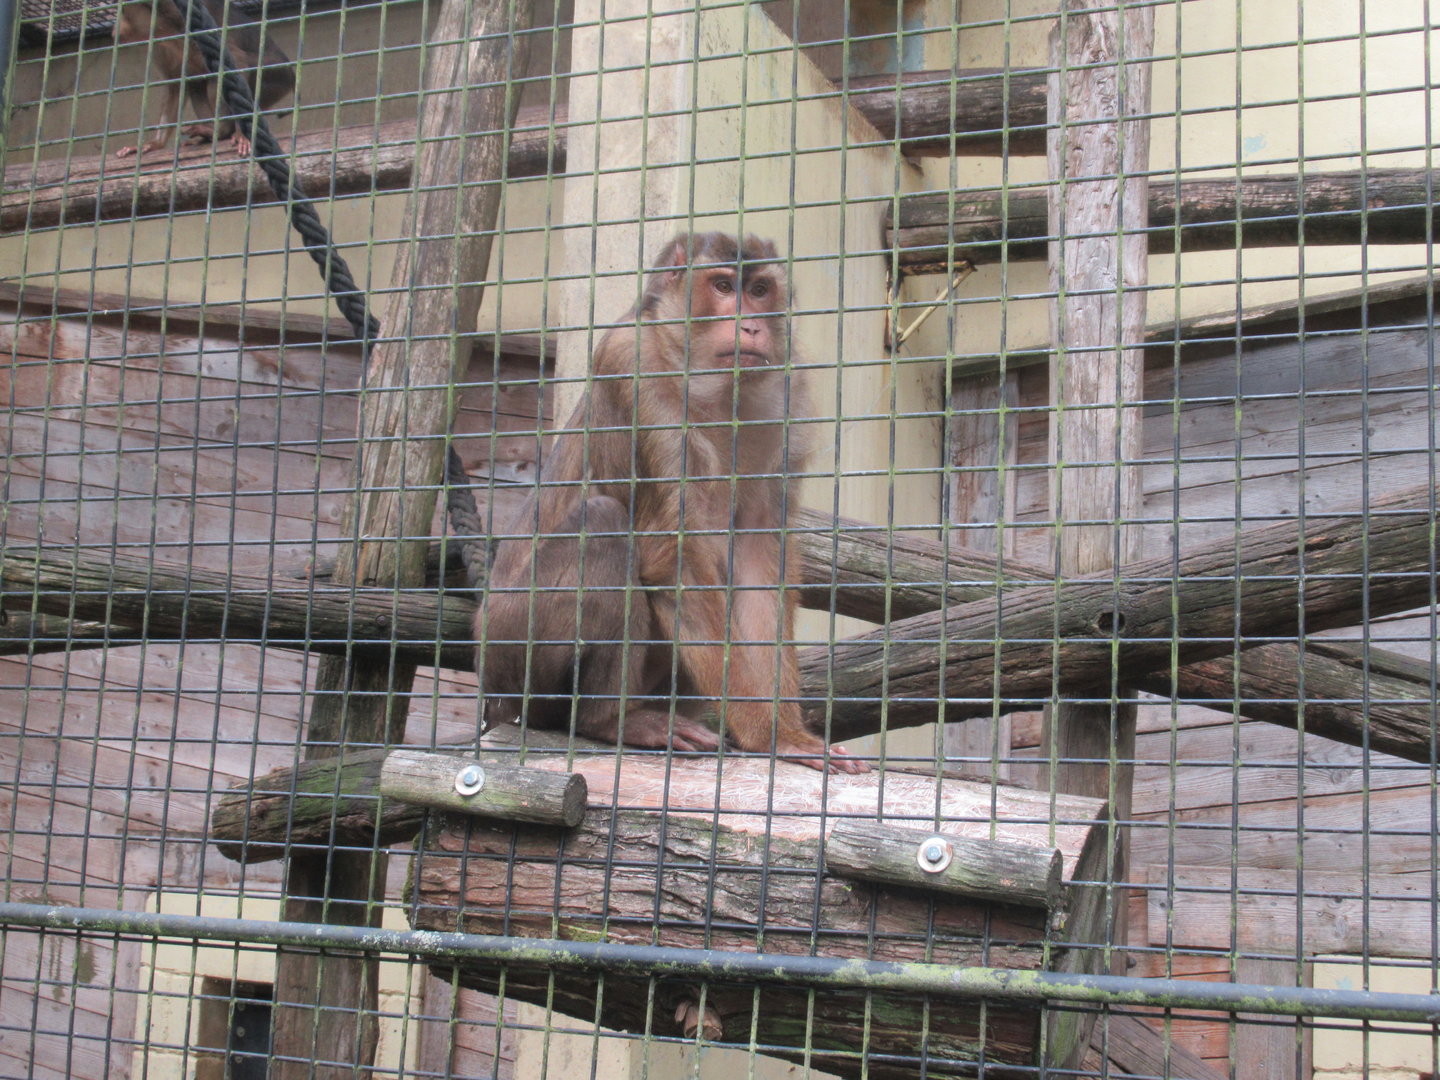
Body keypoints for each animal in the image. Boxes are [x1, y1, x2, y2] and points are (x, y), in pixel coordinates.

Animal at [113, 0, 295, 159]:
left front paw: (242, 134)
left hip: (277, 78)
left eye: (122, 13)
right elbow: (176, 84)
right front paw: (154, 144)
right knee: (198, 83)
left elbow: (237, 61)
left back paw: (221, 130)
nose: (115, 29)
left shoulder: (181, 17)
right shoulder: (160, 44)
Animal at [478, 233, 867, 774]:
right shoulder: (634, 366)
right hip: (515, 656)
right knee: (603, 524)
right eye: (723, 287)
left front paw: (784, 731)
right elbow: (672, 557)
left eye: (760, 290)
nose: (751, 325)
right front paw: (767, 734)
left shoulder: (784, 402)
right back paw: (607, 720)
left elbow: (757, 562)